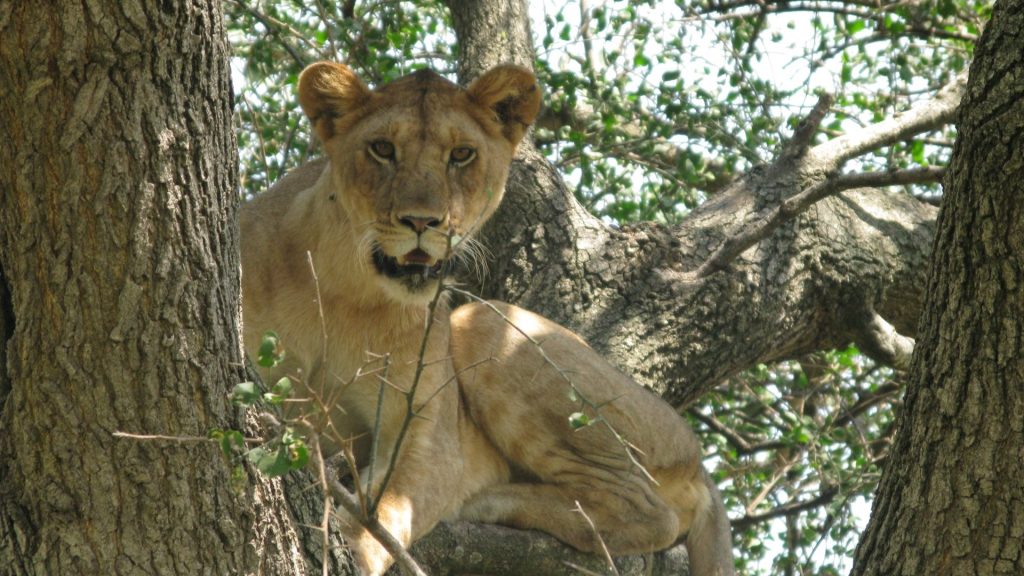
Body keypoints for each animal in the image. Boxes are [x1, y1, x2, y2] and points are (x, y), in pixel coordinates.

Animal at [240, 61, 734, 576]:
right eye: (382, 149)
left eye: (461, 154)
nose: (423, 222)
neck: (345, 287)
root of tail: (699, 462)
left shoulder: (430, 439)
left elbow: (380, 514)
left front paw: (346, 550)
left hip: (485, 323)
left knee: (648, 512)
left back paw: (490, 500)